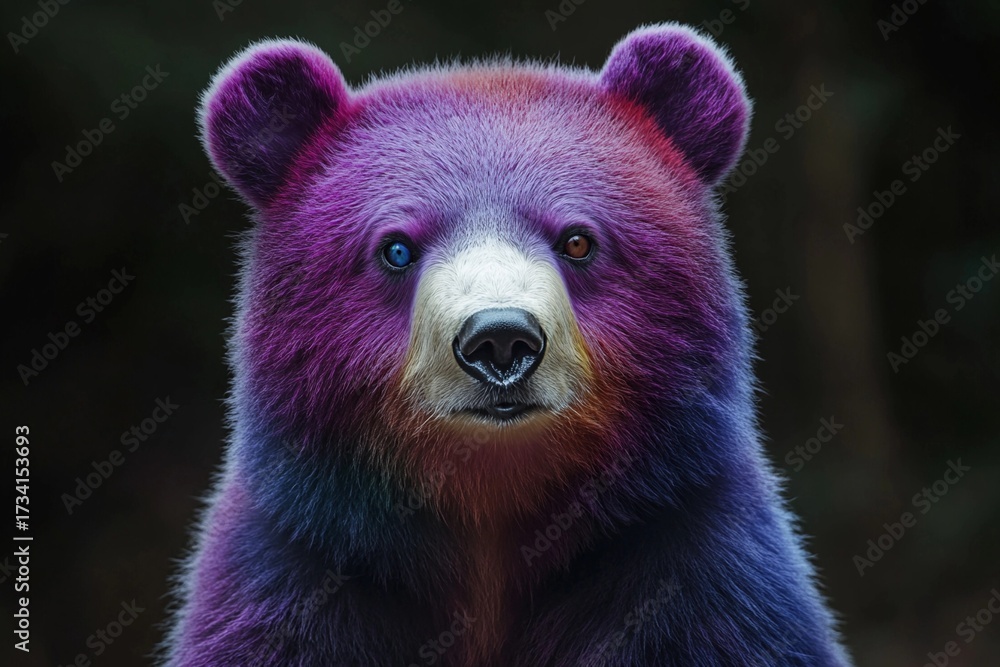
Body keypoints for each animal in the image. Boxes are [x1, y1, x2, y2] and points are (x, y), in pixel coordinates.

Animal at [161, 23, 853, 667]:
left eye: (578, 240)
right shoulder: (299, 569)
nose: (498, 340)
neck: (490, 519)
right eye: (396, 248)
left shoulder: (692, 565)